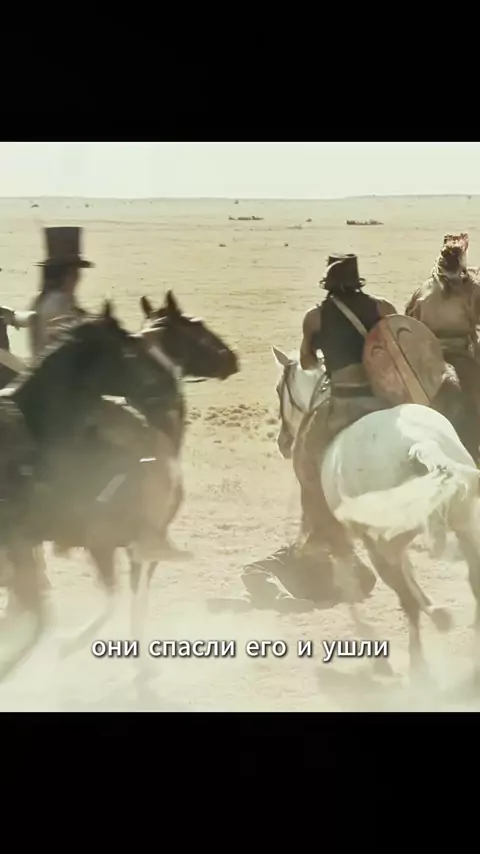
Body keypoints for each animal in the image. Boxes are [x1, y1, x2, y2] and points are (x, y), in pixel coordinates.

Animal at [272, 345, 480, 682]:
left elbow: (350, 586)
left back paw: (418, 666)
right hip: (464, 524)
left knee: (404, 597)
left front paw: (378, 656)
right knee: (472, 579)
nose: (282, 442)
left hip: (381, 543)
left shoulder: (342, 537)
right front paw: (439, 614)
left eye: (280, 389)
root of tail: (419, 448)